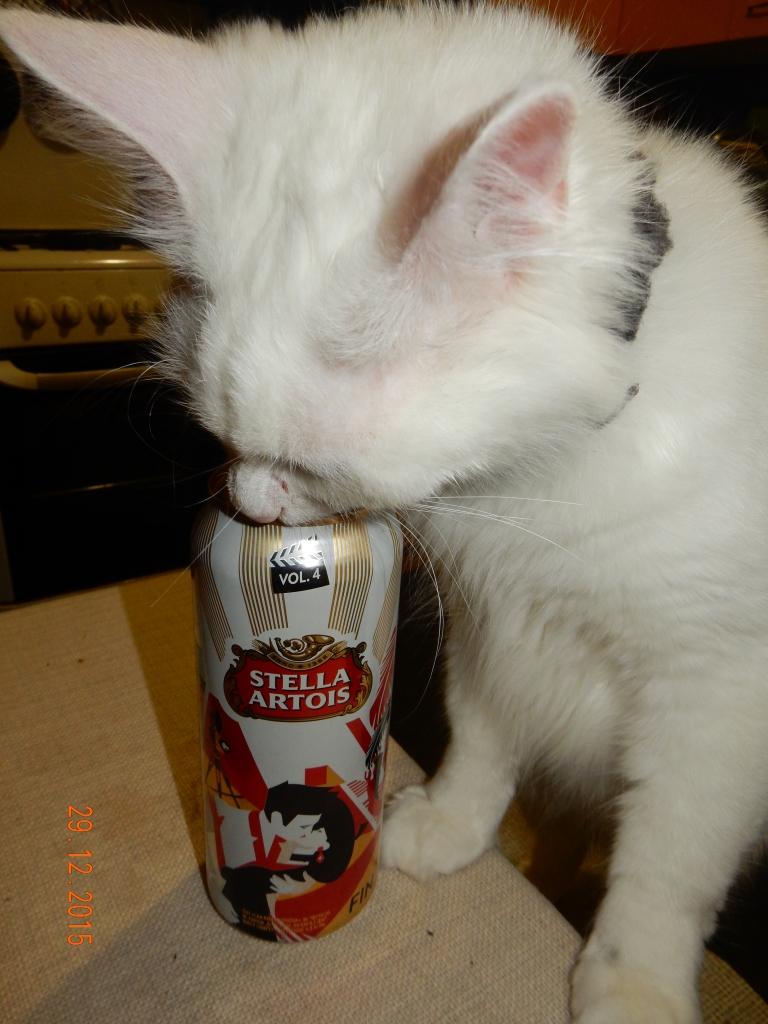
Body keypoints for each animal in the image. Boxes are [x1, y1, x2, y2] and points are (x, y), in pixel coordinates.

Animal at [2, 3, 767, 1022]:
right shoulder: (492, 626)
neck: (534, 478)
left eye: (310, 469)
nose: (252, 506)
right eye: (218, 438)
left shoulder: (714, 695)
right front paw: (451, 822)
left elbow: (667, 861)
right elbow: (481, 736)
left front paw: (632, 978)